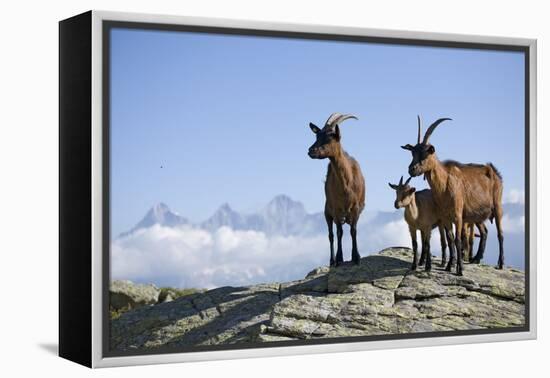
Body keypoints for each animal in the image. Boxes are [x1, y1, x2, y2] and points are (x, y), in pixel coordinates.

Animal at [310, 112, 366, 266]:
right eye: (317, 136)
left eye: (330, 137)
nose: (310, 151)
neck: (346, 185)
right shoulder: (335, 208)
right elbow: (339, 232)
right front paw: (340, 258)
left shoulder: (356, 208)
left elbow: (353, 231)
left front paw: (356, 257)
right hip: (327, 212)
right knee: (331, 234)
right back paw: (332, 260)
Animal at [402, 115, 504, 274]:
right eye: (413, 153)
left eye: (426, 153)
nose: (411, 169)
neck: (444, 184)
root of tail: (495, 172)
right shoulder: (445, 217)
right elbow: (450, 240)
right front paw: (449, 265)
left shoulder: (458, 215)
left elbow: (457, 240)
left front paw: (459, 269)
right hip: (477, 215)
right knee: (485, 232)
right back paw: (476, 258)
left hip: (497, 206)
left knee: (500, 234)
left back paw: (500, 263)